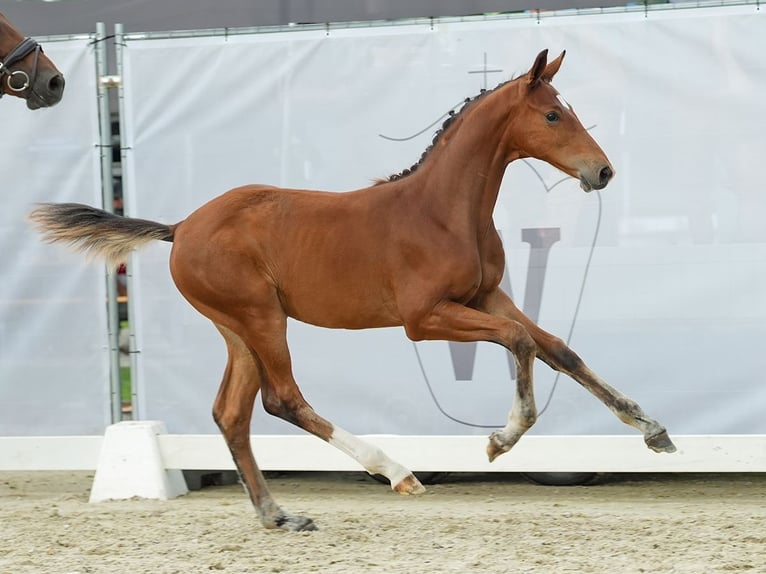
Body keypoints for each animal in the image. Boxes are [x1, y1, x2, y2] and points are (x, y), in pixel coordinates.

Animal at [31, 50, 680, 536]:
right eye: (550, 116)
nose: (602, 172)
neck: (443, 210)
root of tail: (181, 227)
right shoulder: (424, 318)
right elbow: (520, 341)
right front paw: (502, 439)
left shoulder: (485, 297)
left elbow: (558, 348)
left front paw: (652, 430)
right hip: (262, 318)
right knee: (283, 399)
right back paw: (395, 471)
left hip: (238, 329)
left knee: (232, 413)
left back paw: (278, 515)